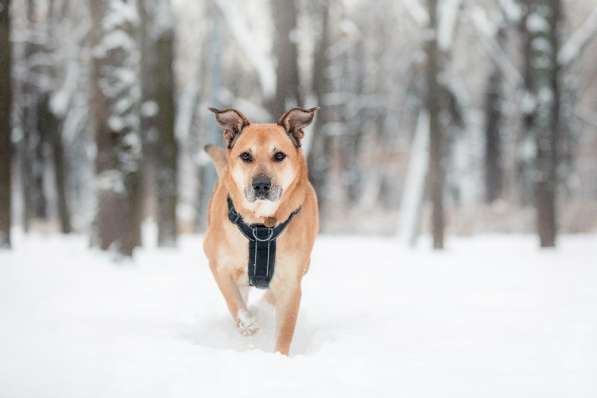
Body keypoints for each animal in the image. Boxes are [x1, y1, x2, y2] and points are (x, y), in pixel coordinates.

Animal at [203, 105, 318, 354]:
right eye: (246, 155)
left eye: (279, 155)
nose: (262, 185)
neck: (262, 226)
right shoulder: (218, 263)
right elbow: (233, 299)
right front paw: (247, 324)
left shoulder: (291, 281)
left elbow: (285, 330)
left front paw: (278, 357)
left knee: (269, 298)